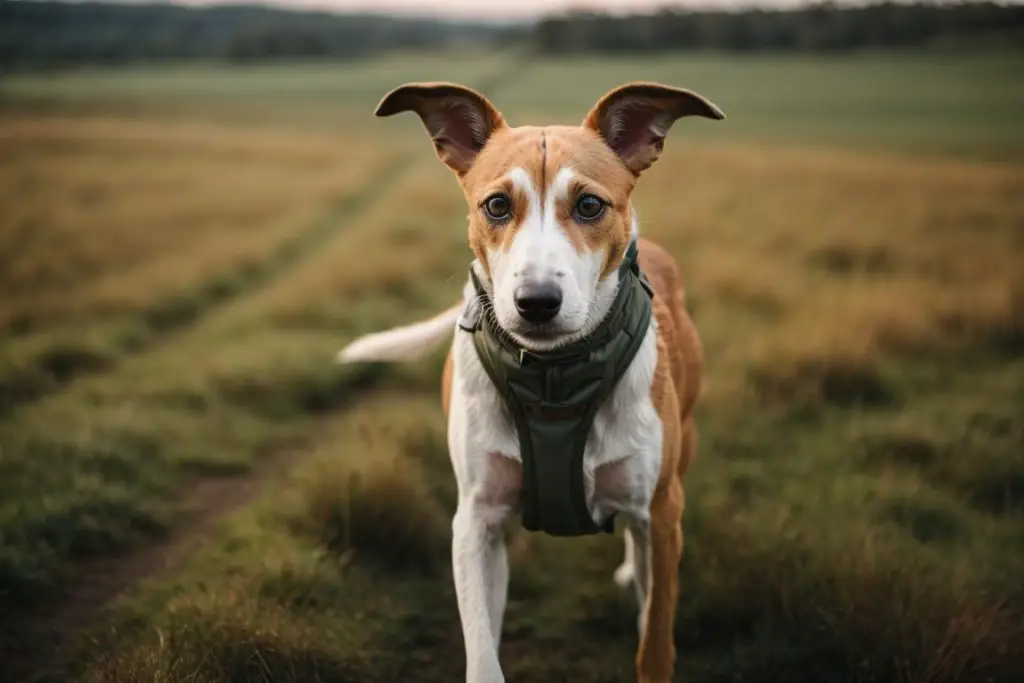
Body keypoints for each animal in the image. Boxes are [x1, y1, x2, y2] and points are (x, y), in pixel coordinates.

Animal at [335, 81, 720, 683]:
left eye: (589, 205)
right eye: (496, 205)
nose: (536, 302)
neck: (553, 375)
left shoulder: (662, 514)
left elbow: (655, 635)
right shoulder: (476, 523)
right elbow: (482, 654)